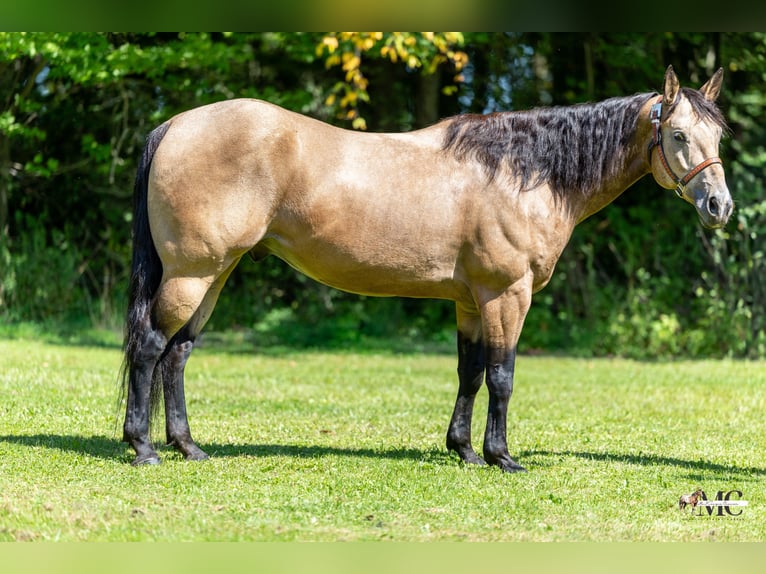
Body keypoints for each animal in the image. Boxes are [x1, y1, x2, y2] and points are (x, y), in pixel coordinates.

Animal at [120, 65, 732, 471]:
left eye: (719, 135)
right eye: (678, 135)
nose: (719, 207)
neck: (521, 173)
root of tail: (175, 125)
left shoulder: (470, 300)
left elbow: (469, 373)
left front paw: (463, 451)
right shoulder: (507, 295)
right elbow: (502, 376)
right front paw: (501, 457)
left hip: (213, 276)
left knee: (178, 354)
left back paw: (189, 447)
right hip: (192, 274)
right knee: (151, 347)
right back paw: (143, 447)